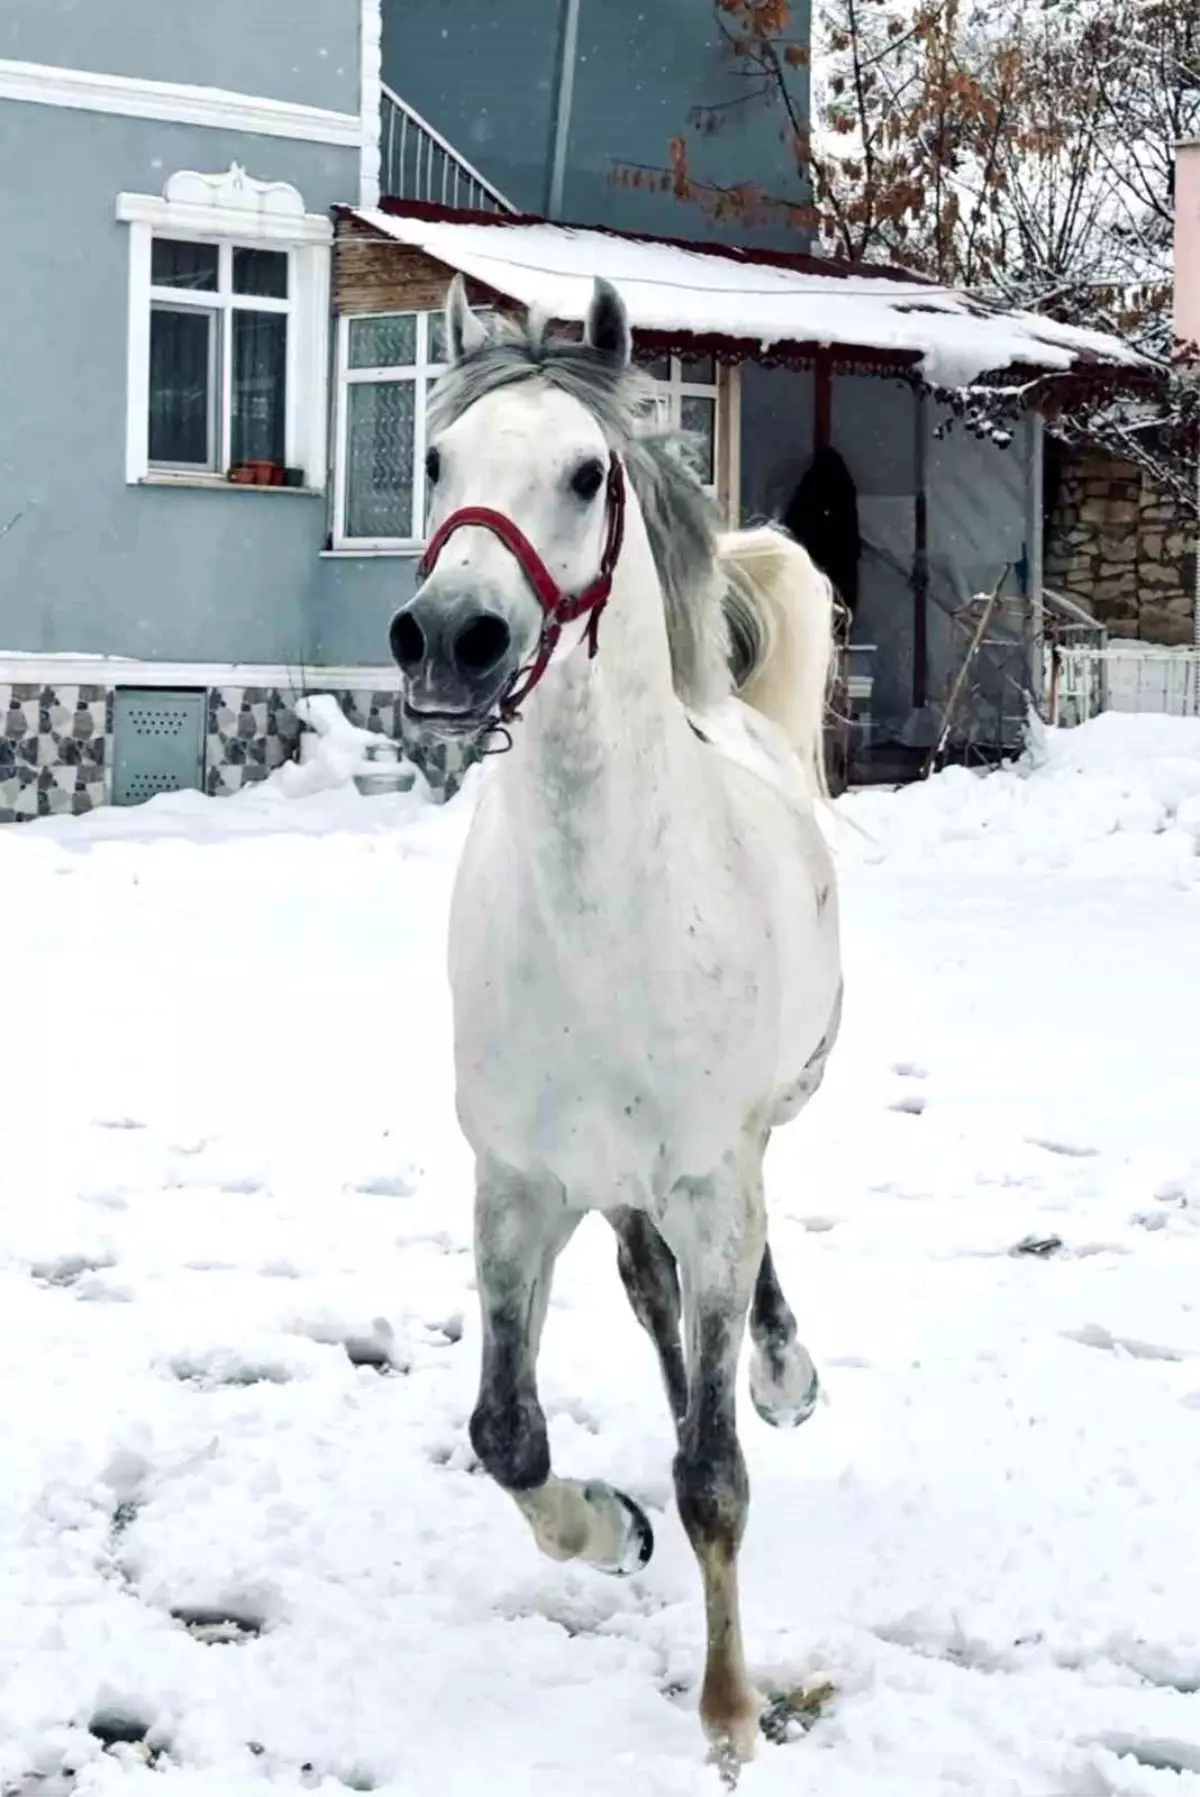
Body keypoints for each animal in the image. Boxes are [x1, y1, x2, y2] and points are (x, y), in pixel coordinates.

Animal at [389, 280, 840, 1768]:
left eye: (588, 473)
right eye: (433, 461)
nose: (451, 639)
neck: (603, 914)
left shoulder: (710, 1179)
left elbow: (715, 1474)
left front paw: (731, 1714)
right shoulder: (519, 1189)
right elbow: (506, 1435)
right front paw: (609, 1530)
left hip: (745, 1148)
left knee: (731, 1295)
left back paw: (784, 1371)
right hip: (622, 1191)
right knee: (649, 1299)